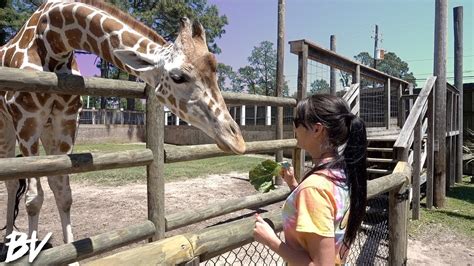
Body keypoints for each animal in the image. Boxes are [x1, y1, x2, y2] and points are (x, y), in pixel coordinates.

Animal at [0, 0, 244, 254]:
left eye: (215, 73)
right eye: (178, 77)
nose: (237, 140)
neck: (53, 41)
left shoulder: (66, 121)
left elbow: (63, 192)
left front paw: (71, 255)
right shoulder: (27, 120)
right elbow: (33, 199)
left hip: (47, 130)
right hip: (7, 126)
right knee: (10, 180)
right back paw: (9, 241)